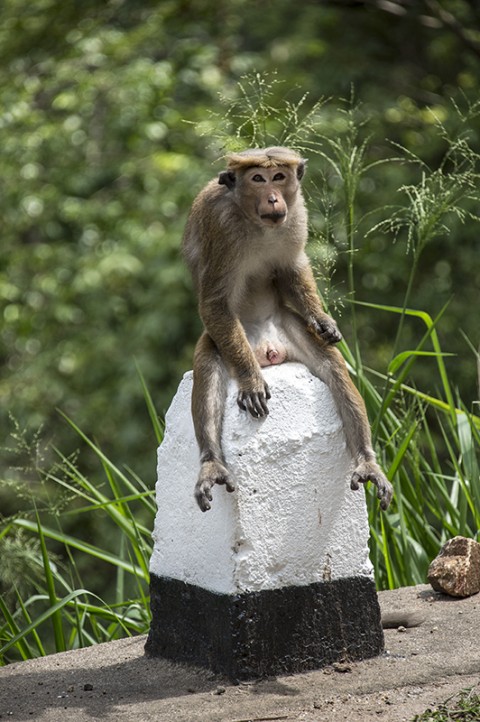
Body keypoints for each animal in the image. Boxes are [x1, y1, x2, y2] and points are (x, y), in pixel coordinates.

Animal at [181, 143, 394, 510]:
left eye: (278, 176)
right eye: (257, 178)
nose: (272, 198)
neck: (255, 223)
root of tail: (267, 348)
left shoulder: (297, 215)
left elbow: (293, 267)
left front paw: (324, 320)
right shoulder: (220, 226)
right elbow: (214, 302)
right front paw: (252, 382)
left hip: (288, 326)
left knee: (333, 367)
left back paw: (366, 460)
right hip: (230, 341)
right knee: (209, 357)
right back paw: (211, 462)